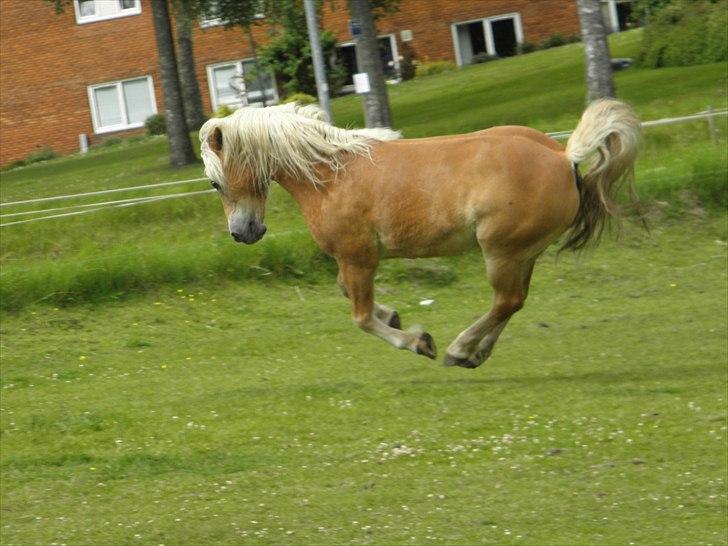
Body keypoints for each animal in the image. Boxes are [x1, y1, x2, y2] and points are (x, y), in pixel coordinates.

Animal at [202, 100, 640, 368]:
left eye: (214, 182)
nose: (243, 233)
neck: (330, 176)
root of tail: (562, 157)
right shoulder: (354, 259)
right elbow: (347, 292)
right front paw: (394, 316)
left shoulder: (358, 256)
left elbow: (361, 316)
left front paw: (417, 341)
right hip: (523, 253)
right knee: (514, 303)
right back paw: (475, 353)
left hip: (502, 251)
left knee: (505, 301)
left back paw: (459, 349)